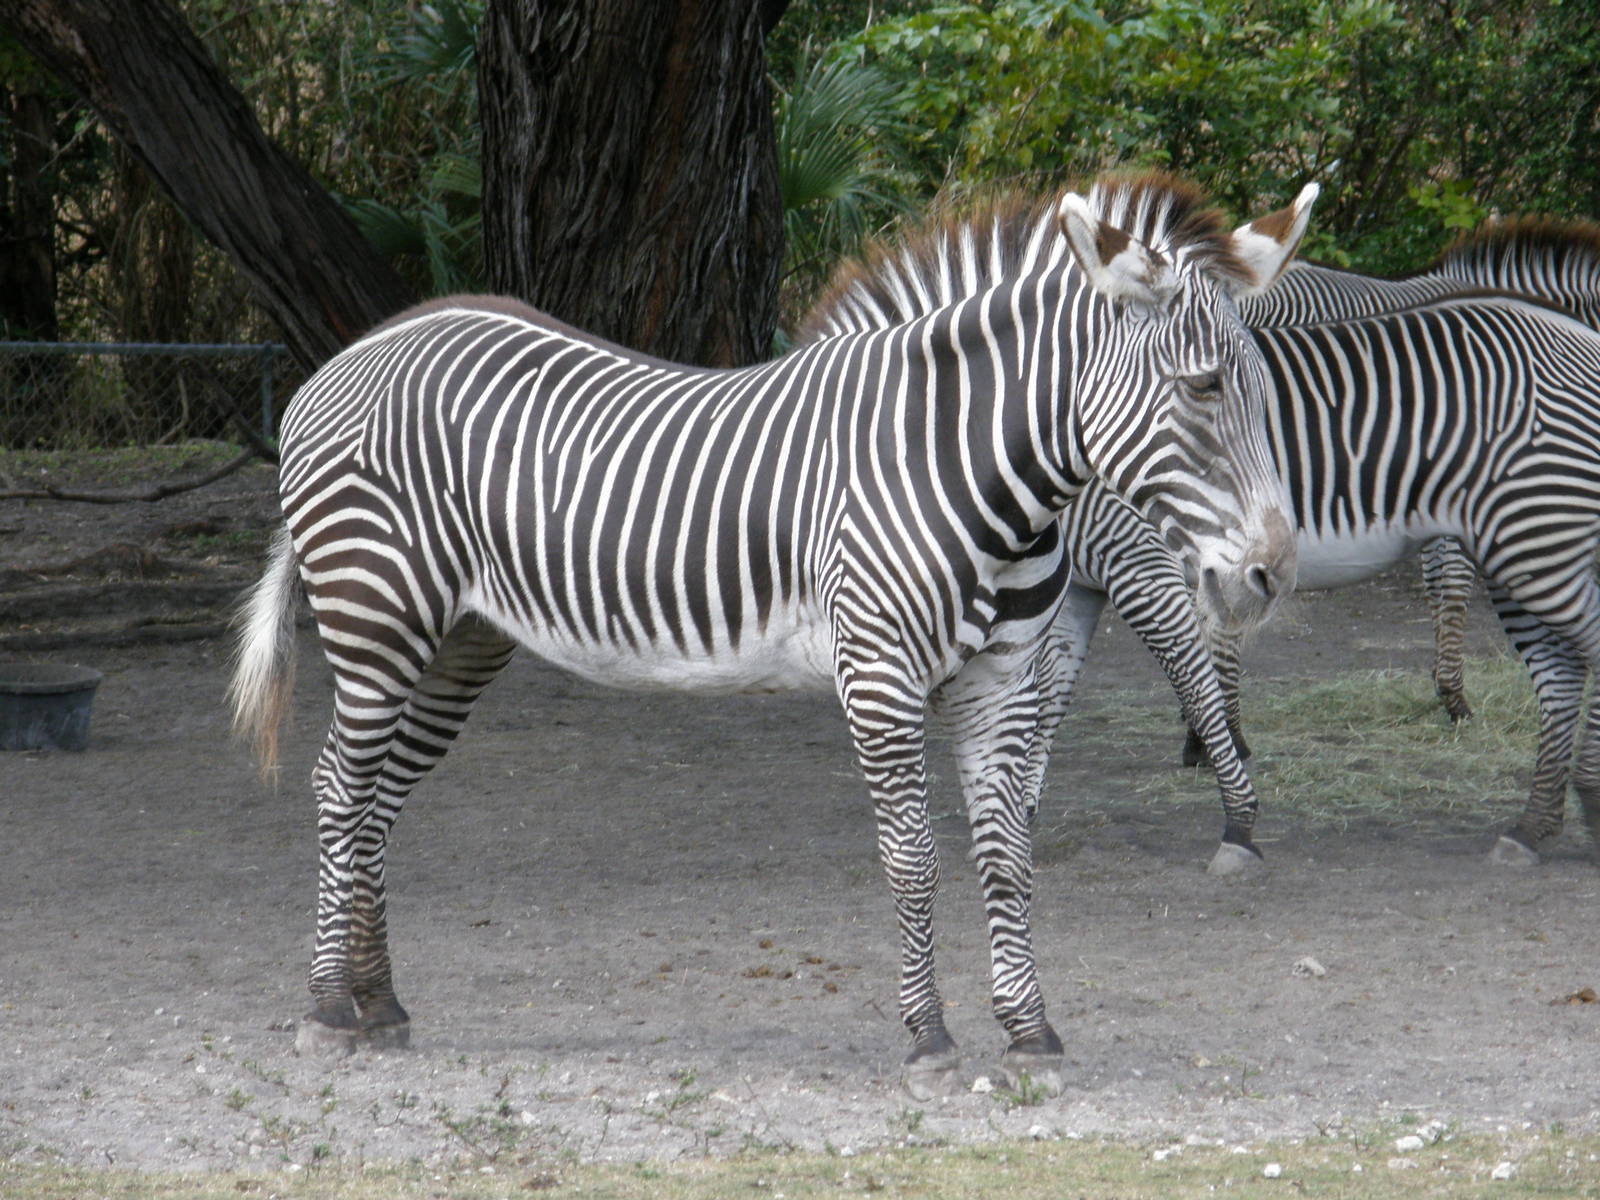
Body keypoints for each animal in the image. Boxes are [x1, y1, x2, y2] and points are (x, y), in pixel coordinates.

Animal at [228, 173, 1313, 1088]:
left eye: (1264, 391)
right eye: (1204, 387)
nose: (1271, 577)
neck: (957, 466)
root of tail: (351, 356)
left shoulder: (1000, 677)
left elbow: (1006, 853)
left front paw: (1028, 1030)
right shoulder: (878, 672)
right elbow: (913, 858)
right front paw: (929, 1037)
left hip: (460, 639)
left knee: (379, 800)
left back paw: (380, 1003)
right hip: (377, 615)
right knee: (341, 788)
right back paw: (328, 1010)